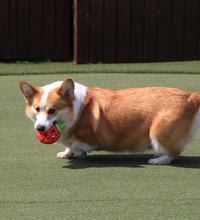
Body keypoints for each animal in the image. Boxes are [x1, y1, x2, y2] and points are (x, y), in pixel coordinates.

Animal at [19, 78, 200, 165]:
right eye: (37, 109)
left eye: (52, 111)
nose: (40, 128)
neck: (75, 111)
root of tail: (191, 96)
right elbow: (69, 146)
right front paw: (66, 153)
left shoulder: (92, 141)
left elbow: (77, 145)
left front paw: (80, 154)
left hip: (157, 132)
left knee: (173, 152)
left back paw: (157, 160)